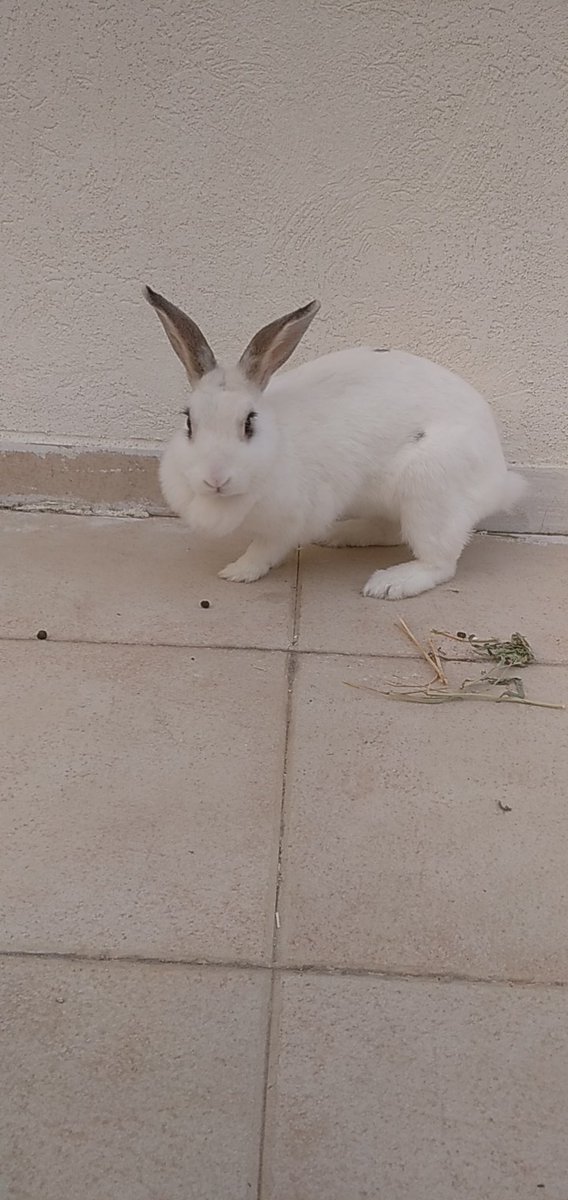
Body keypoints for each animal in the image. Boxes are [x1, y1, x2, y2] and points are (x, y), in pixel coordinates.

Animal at [146, 286, 526, 599]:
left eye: (249, 422)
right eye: (189, 422)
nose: (215, 479)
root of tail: (499, 479)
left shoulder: (291, 521)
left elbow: (265, 549)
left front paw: (238, 572)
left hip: (430, 494)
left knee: (440, 563)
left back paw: (389, 583)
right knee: (391, 530)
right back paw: (340, 536)